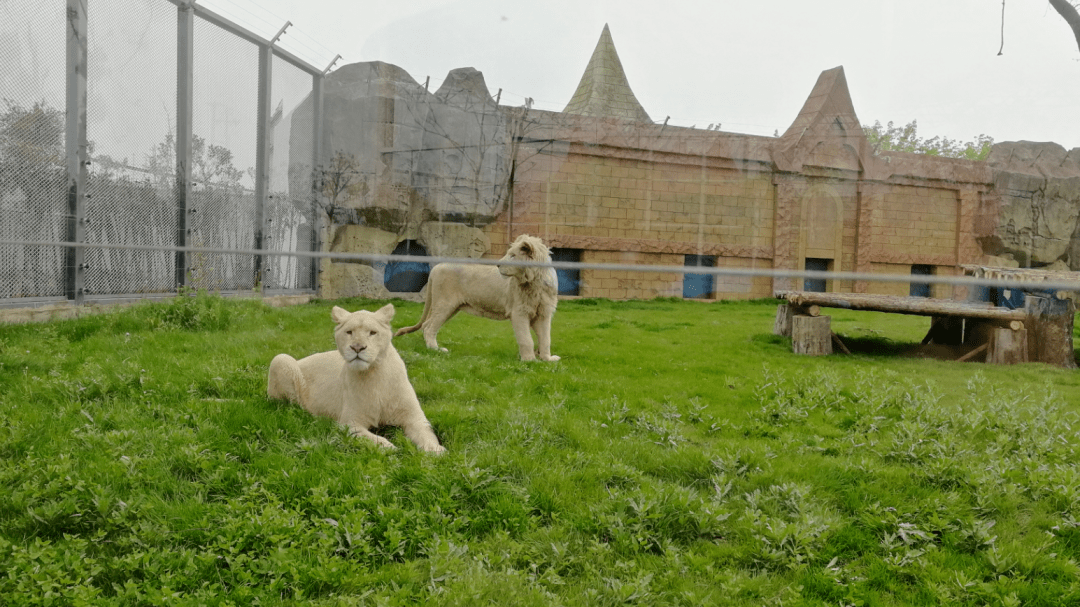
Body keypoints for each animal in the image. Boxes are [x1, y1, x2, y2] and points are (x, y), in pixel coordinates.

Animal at [267, 302, 444, 449]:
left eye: (372, 332)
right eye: (349, 332)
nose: (357, 347)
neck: (374, 374)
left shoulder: (414, 417)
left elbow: (427, 434)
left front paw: (436, 452)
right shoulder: (349, 423)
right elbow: (373, 439)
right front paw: (391, 447)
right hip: (280, 359)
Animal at [397, 232, 565, 358]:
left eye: (513, 255)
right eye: (509, 254)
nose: (498, 265)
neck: (534, 282)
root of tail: (437, 267)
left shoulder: (543, 313)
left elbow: (545, 339)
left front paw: (547, 359)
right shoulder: (519, 312)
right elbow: (526, 339)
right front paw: (529, 360)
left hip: (451, 308)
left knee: (426, 324)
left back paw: (427, 347)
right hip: (445, 304)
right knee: (429, 327)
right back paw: (436, 350)